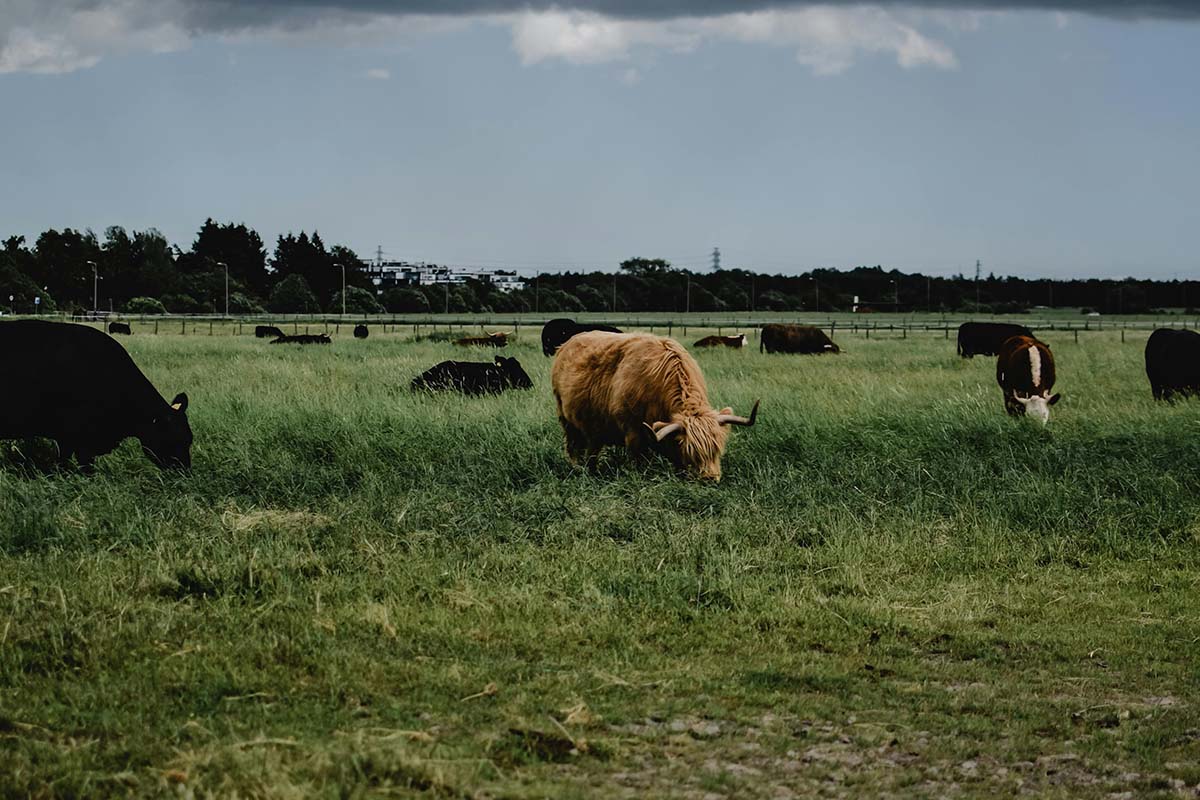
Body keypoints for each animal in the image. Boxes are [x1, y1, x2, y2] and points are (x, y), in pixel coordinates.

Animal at [552, 331, 758, 482]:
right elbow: (637, 463)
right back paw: (578, 469)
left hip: (594, 428)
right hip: (566, 418)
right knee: (573, 447)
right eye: (690, 450)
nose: (709, 478)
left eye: (717, 449)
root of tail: (566, 344)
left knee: (592, 450)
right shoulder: (633, 433)